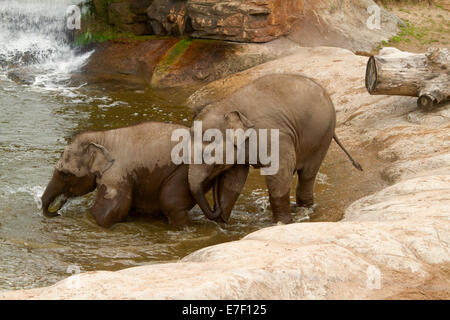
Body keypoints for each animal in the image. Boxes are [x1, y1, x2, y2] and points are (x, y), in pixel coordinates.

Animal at [41, 121, 246, 229]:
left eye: (65, 174)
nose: (56, 212)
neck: (101, 137)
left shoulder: (116, 174)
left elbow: (111, 211)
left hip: (185, 171)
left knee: (171, 202)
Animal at [187, 74, 362, 225]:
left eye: (207, 155)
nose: (217, 210)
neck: (226, 106)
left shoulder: (273, 137)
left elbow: (278, 174)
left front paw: (281, 223)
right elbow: (233, 181)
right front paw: (222, 222)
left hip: (321, 137)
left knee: (307, 175)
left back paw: (305, 210)